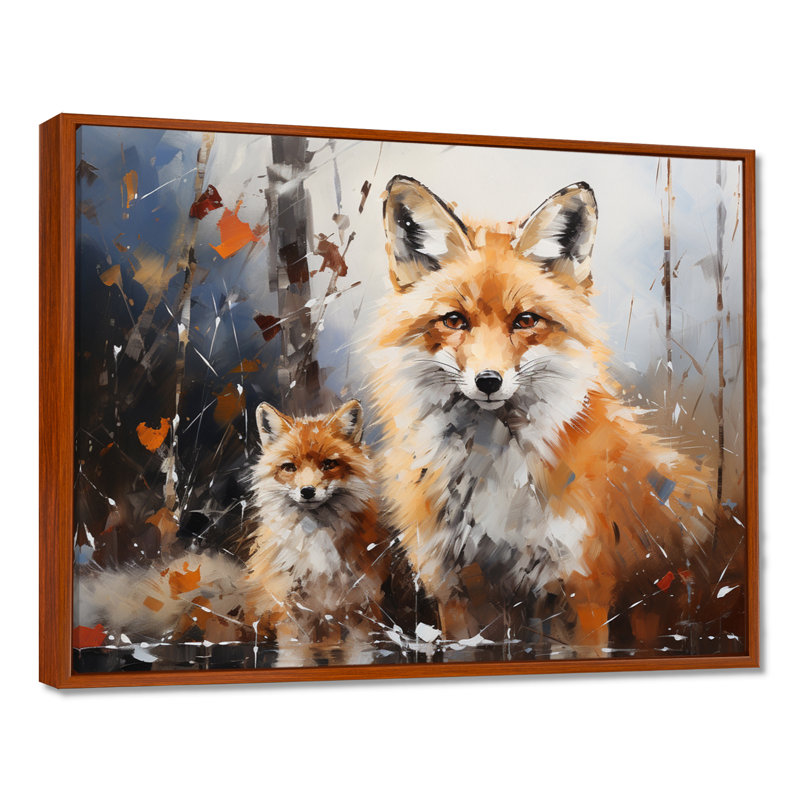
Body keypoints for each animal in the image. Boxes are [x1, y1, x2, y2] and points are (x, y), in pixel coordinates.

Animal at [368, 175, 716, 655]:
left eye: (525, 320)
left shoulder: (580, 588)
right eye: (454, 320)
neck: (492, 473)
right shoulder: (454, 590)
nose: (488, 381)